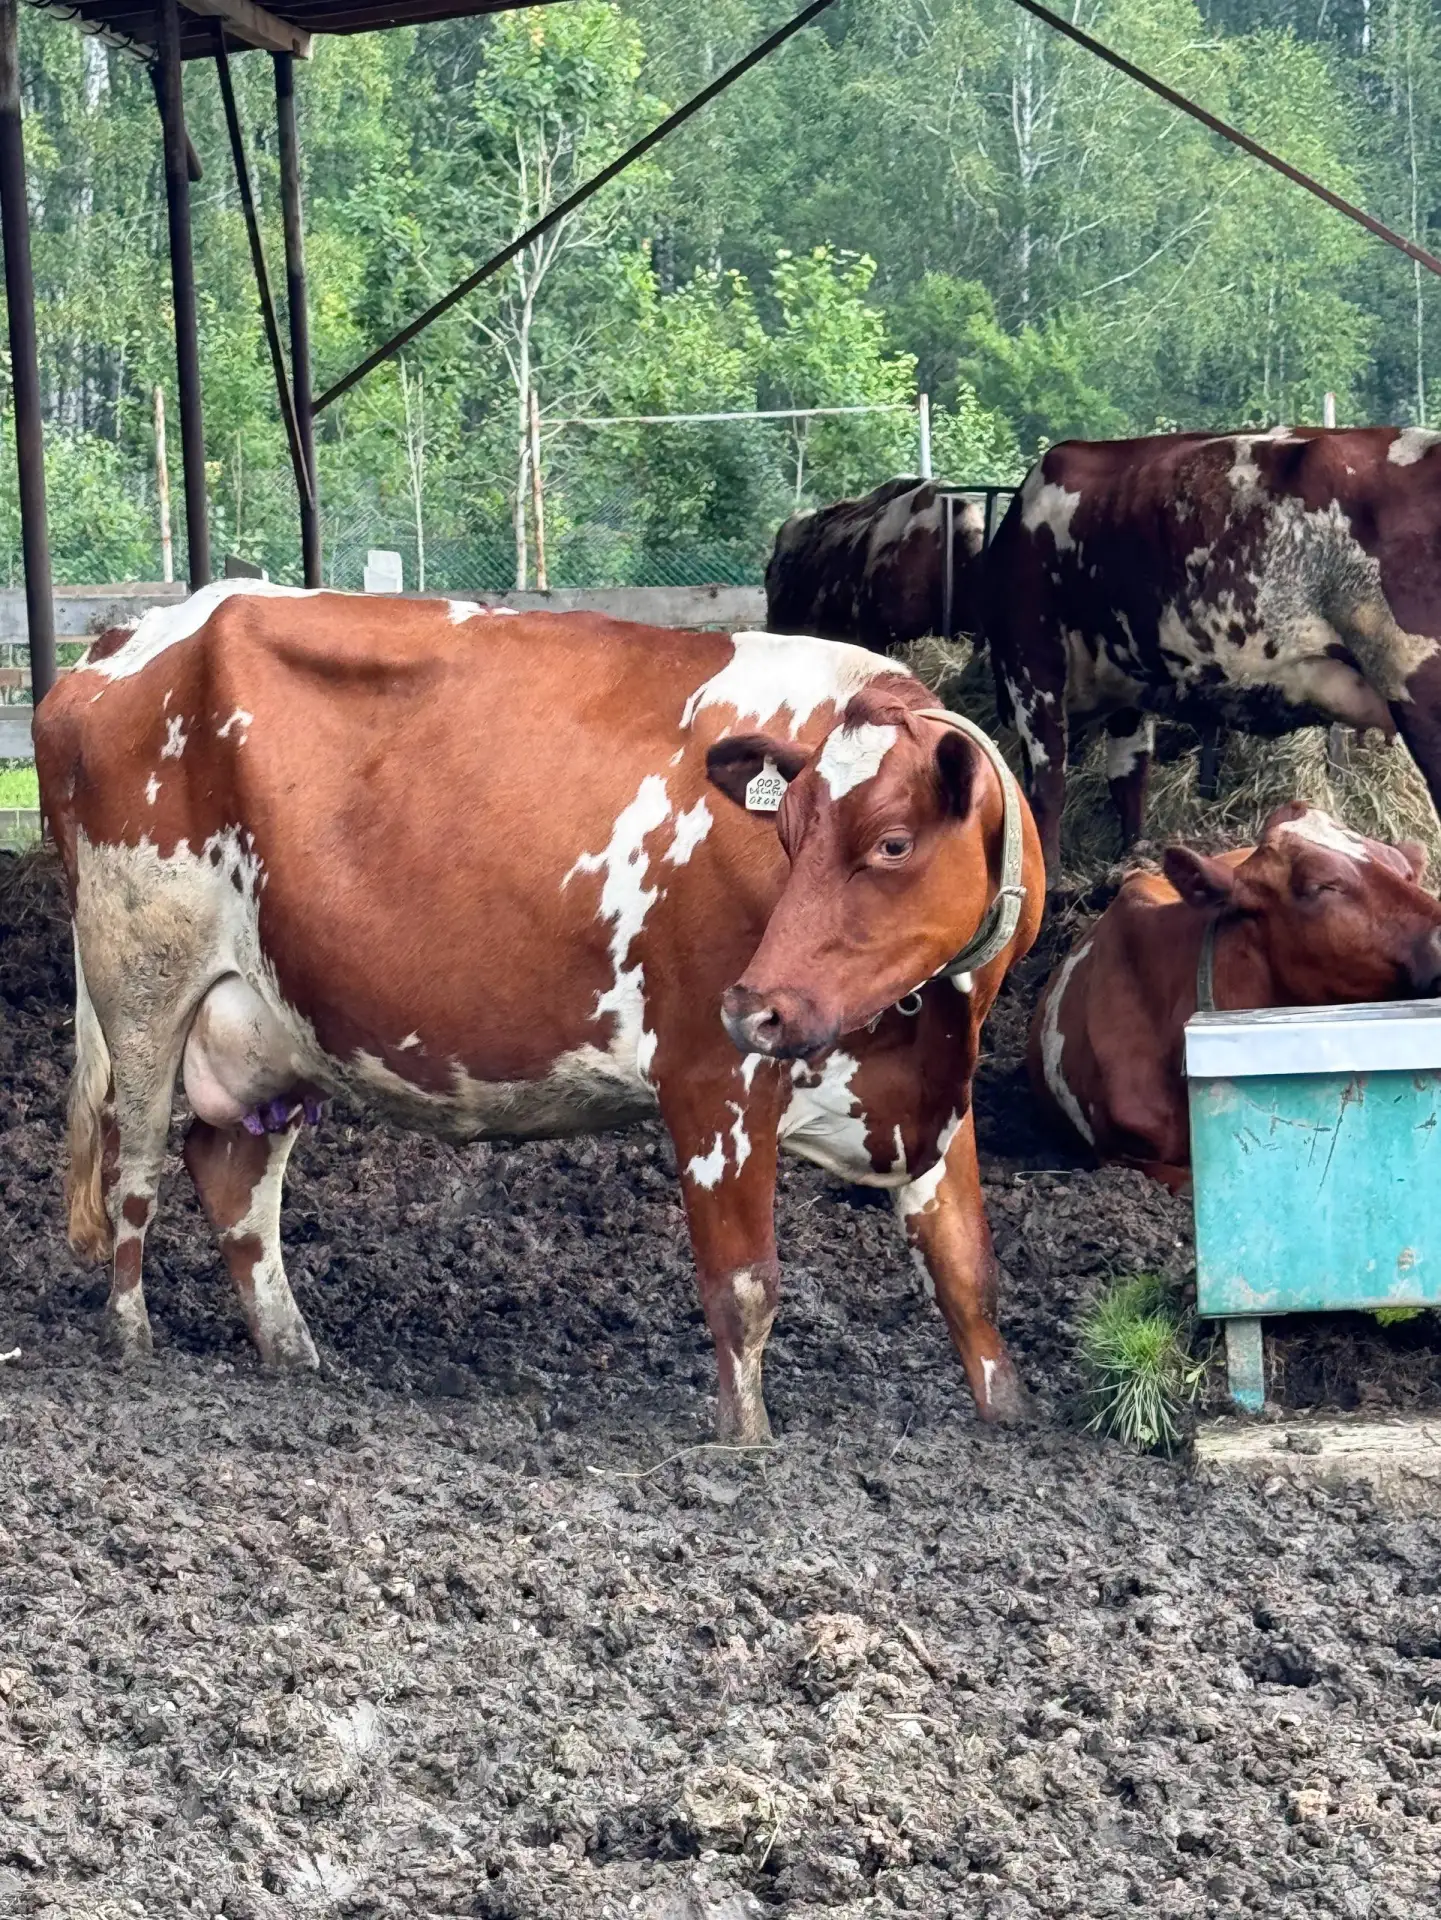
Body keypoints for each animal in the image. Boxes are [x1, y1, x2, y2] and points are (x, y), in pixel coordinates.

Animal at [34, 580, 1044, 1444]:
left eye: (892, 843)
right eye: (787, 836)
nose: (756, 1006)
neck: (924, 1030)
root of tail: (128, 639)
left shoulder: (938, 1104)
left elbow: (968, 1270)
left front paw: (1007, 1416)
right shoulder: (710, 1077)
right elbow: (743, 1285)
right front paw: (747, 1441)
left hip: (278, 1021)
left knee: (233, 1170)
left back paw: (290, 1348)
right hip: (142, 980)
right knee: (137, 1168)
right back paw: (131, 1339)